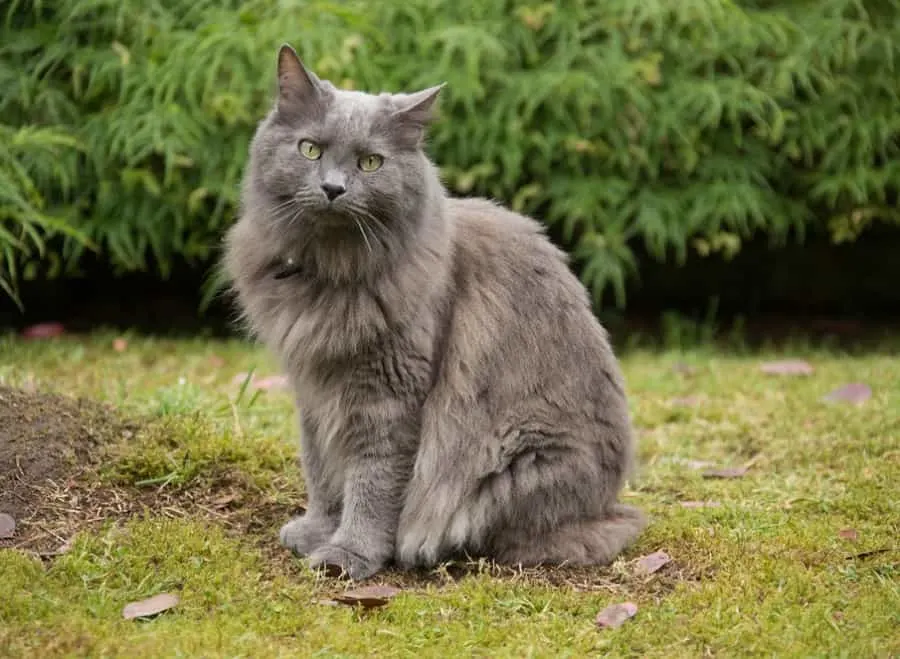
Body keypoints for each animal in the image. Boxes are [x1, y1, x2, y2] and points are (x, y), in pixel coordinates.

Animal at [225, 45, 648, 576]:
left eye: (370, 162)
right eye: (310, 151)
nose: (333, 189)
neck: (330, 273)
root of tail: (607, 506)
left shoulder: (389, 395)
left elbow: (371, 482)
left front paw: (349, 553)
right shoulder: (314, 390)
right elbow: (321, 469)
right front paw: (318, 531)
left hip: (516, 457)